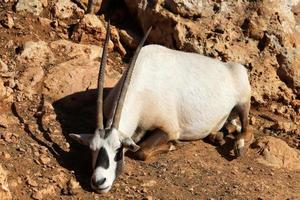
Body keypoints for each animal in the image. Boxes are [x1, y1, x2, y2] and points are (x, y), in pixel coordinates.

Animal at [69, 22, 253, 193]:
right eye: (92, 148)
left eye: (118, 150)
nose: (99, 181)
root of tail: (232, 67)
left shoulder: (169, 129)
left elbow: (141, 151)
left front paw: (173, 145)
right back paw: (218, 135)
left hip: (244, 101)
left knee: (247, 129)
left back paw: (238, 144)